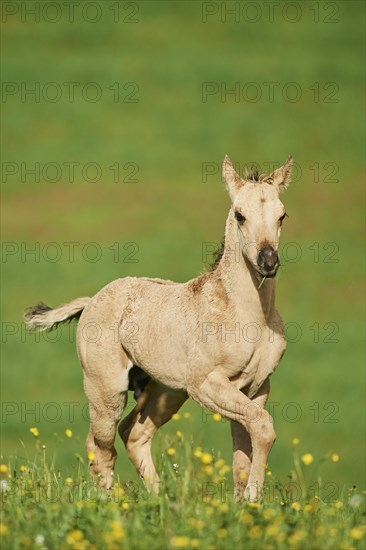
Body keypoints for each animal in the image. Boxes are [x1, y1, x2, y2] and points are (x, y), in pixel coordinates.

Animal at [24, 154, 294, 500]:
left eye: (282, 215)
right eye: (240, 215)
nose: (268, 262)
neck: (248, 316)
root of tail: (92, 300)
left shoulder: (256, 387)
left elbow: (244, 452)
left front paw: (243, 502)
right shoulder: (205, 384)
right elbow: (262, 427)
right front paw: (251, 498)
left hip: (165, 392)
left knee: (133, 433)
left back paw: (160, 499)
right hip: (107, 391)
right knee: (100, 446)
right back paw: (112, 503)